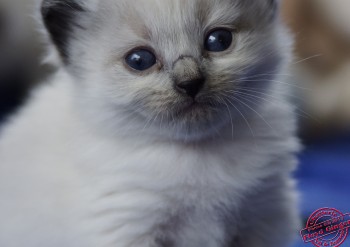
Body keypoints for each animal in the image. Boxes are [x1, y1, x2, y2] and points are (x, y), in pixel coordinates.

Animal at [0, 0, 300, 247]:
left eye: (218, 40)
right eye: (140, 60)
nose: (190, 83)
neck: (198, 155)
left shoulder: (260, 219)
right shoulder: (128, 226)